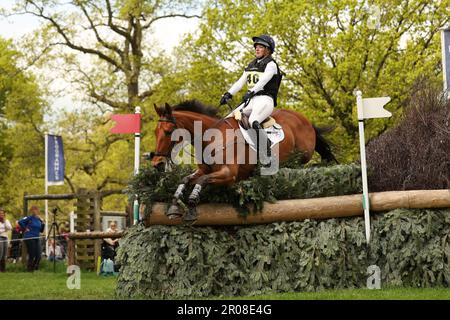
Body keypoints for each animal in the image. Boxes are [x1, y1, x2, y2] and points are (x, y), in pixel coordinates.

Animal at [152, 101, 338, 221]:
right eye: (155, 132)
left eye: (168, 132)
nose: (157, 164)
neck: (212, 137)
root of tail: (304, 120)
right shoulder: (205, 170)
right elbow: (186, 179)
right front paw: (174, 206)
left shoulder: (228, 174)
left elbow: (202, 180)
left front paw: (191, 206)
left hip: (301, 155)